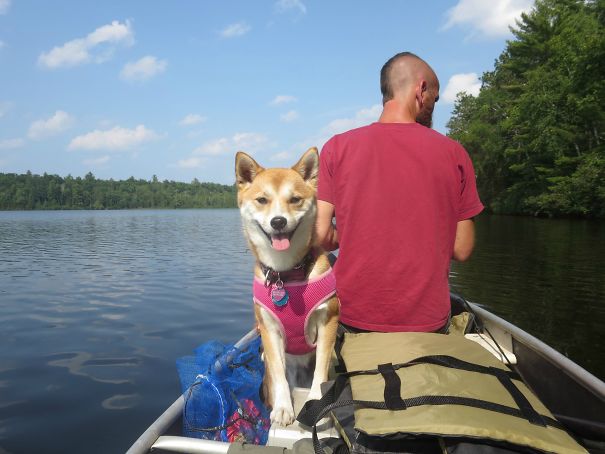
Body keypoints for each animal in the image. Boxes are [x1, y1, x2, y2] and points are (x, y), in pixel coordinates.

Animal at [235, 148, 340, 426]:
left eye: (294, 199)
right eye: (262, 200)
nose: (279, 222)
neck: (286, 275)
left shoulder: (329, 320)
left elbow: (320, 371)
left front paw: (315, 404)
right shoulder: (269, 329)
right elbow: (278, 374)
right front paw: (283, 408)